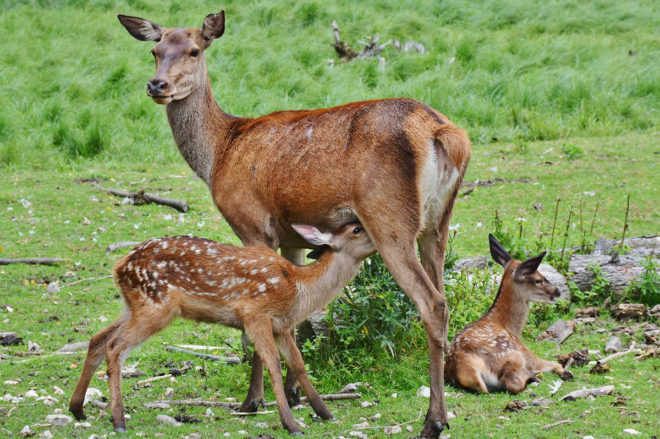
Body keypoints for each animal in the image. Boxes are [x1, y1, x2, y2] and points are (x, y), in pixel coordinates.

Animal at [69, 222, 375, 435]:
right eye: (357, 228)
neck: (299, 290)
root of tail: (119, 266)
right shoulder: (255, 313)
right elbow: (273, 364)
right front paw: (291, 425)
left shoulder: (282, 326)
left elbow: (298, 364)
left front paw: (325, 413)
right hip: (155, 306)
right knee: (115, 346)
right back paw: (118, 420)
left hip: (133, 306)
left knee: (97, 339)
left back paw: (78, 410)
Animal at [117, 10, 471, 437]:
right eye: (155, 51)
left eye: (194, 50)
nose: (158, 85)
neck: (219, 154)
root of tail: (442, 133)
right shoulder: (292, 238)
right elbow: (296, 318)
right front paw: (295, 394)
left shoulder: (253, 224)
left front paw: (252, 401)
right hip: (437, 224)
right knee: (443, 295)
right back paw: (445, 410)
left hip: (390, 220)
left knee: (431, 302)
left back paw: (433, 419)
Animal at [444, 234, 574, 394]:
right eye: (538, 280)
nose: (558, 291)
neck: (510, 327)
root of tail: (468, 371)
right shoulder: (526, 352)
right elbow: (554, 363)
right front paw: (565, 371)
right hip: (513, 354)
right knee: (513, 383)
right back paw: (534, 376)